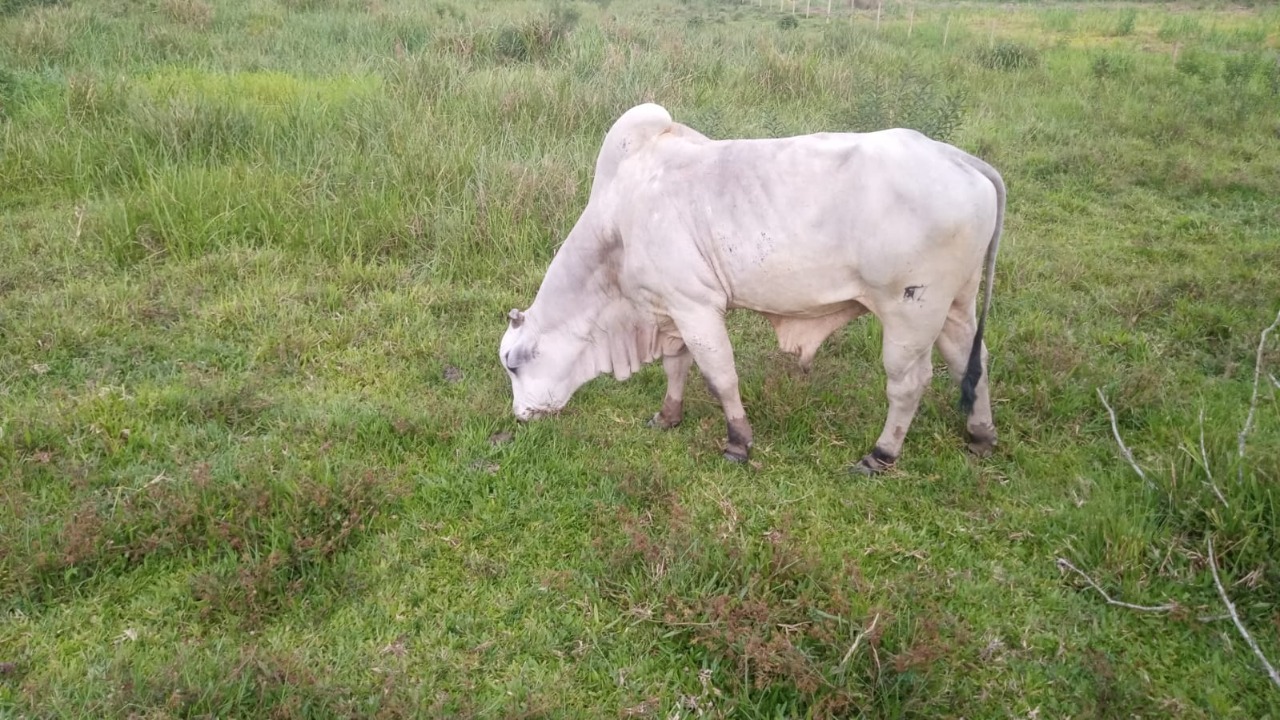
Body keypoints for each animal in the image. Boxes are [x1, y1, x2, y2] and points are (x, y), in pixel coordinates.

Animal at [494, 102, 1003, 471]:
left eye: (513, 365)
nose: (519, 416)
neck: (618, 222)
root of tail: (955, 157)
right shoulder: (671, 310)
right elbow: (677, 366)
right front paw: (668, 417)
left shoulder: (696, 306)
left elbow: (721, 376)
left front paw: (738, 442)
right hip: (956, 304)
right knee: (970, 360)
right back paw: (980, 435)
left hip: (910, 312)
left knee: (908, 384)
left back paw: (881, 454)